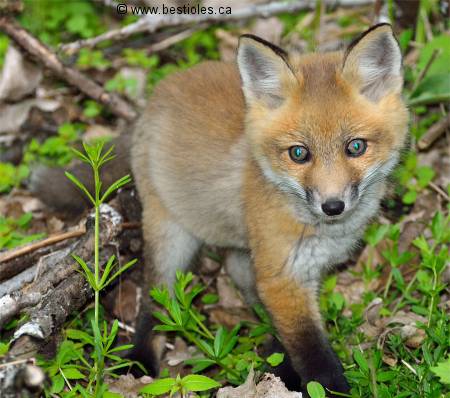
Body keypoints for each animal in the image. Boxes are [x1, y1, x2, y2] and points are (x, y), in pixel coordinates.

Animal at [33, 24, 410, 394]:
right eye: (299, 153)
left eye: (355, 147)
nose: (333, 206)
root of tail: (159, 93)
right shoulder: (281, 278)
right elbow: (315, 355)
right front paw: (328, 386)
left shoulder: (297, 275)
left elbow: (289, 336)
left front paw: (281, 368)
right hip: (171, 239)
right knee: (154, 301)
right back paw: (140, 361)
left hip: (241, 252)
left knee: (235, 271)